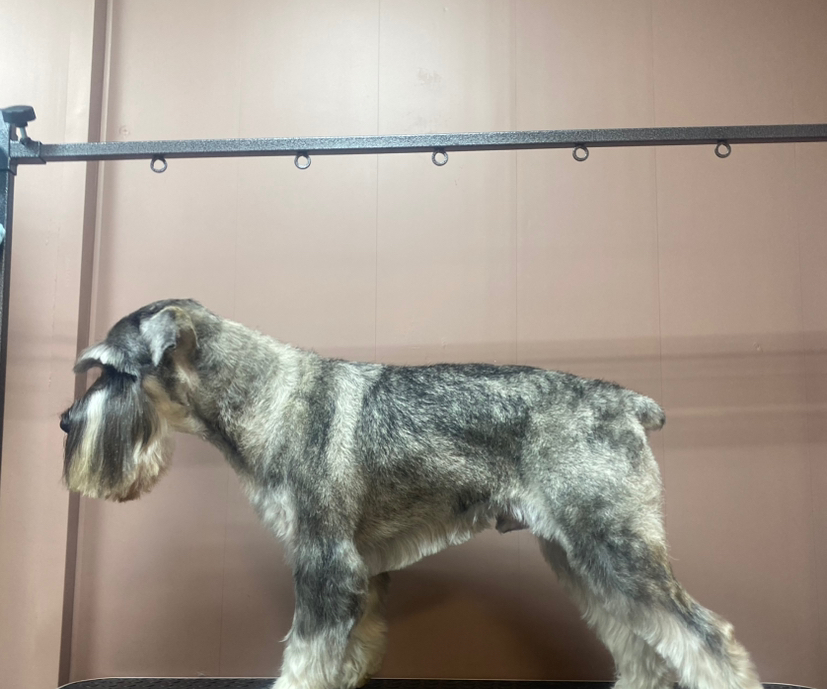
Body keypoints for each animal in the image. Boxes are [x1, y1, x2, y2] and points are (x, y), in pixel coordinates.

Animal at [60, 299, 761, 689]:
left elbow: (306, 655)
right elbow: (346, 651)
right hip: (580, 558)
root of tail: (627, 401)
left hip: (617, 547)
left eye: (114, 371)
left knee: (703, 636)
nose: (66, 422)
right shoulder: (359, 573)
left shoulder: (324, 562)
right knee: (641, 640)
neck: (265, 398)